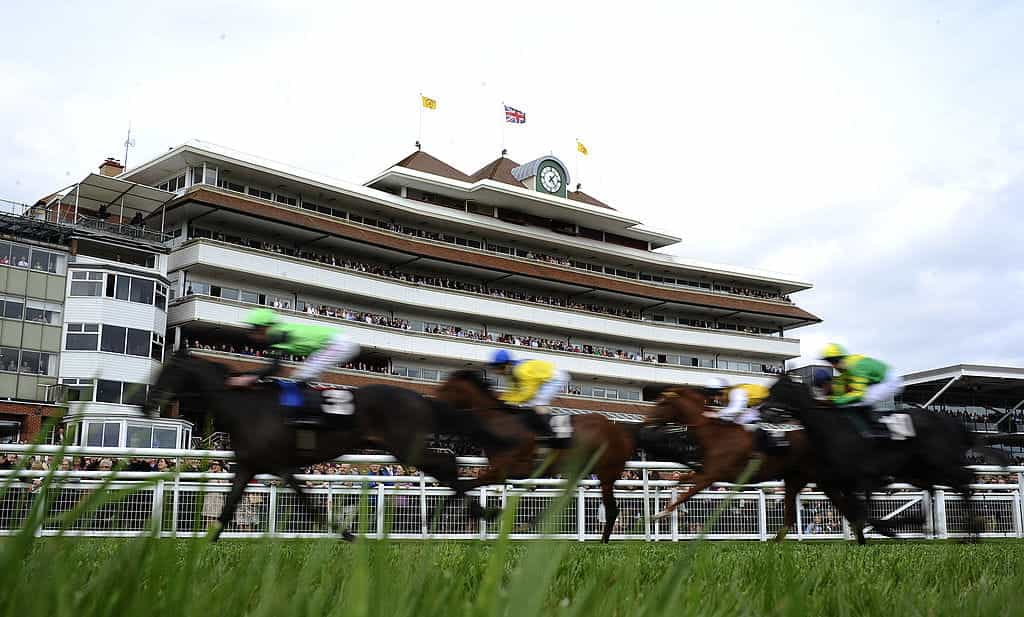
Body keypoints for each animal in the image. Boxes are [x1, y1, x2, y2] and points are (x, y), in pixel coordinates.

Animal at [144, 349, 491, 540]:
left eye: (168, 370)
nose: (148, 404)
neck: (245, 407)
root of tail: (420, 398)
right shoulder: (250, 465)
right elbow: (229, 508)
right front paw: (204, 547)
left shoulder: (280, 465)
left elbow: (308, 505)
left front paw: (347, 534)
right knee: (446, 466)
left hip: (407, 445)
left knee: (446, 463)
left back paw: (470, 511)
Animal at [434, 368, 638, 544]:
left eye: (445, 389)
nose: (432, 408)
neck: (500, 426)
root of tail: (622, 432)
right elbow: (462, 486)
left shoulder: (510, 470)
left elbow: (463, 485)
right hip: (580, 471)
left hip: (607, 473)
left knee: (612, 509)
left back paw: (601, 541)